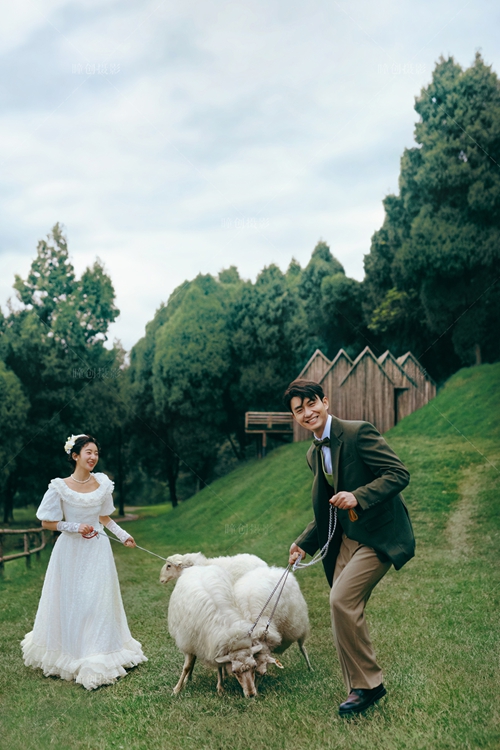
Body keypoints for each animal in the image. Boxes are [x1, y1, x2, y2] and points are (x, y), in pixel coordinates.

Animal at [167, 568, 262, 700]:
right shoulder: (190, 641)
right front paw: (177, 689)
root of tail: (199, 567)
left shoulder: (216, 644)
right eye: (235, 671)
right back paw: (188, 678)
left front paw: (220, 687)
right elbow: (186, 667)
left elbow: (219, 666)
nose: (251, 695)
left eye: (254, 666)